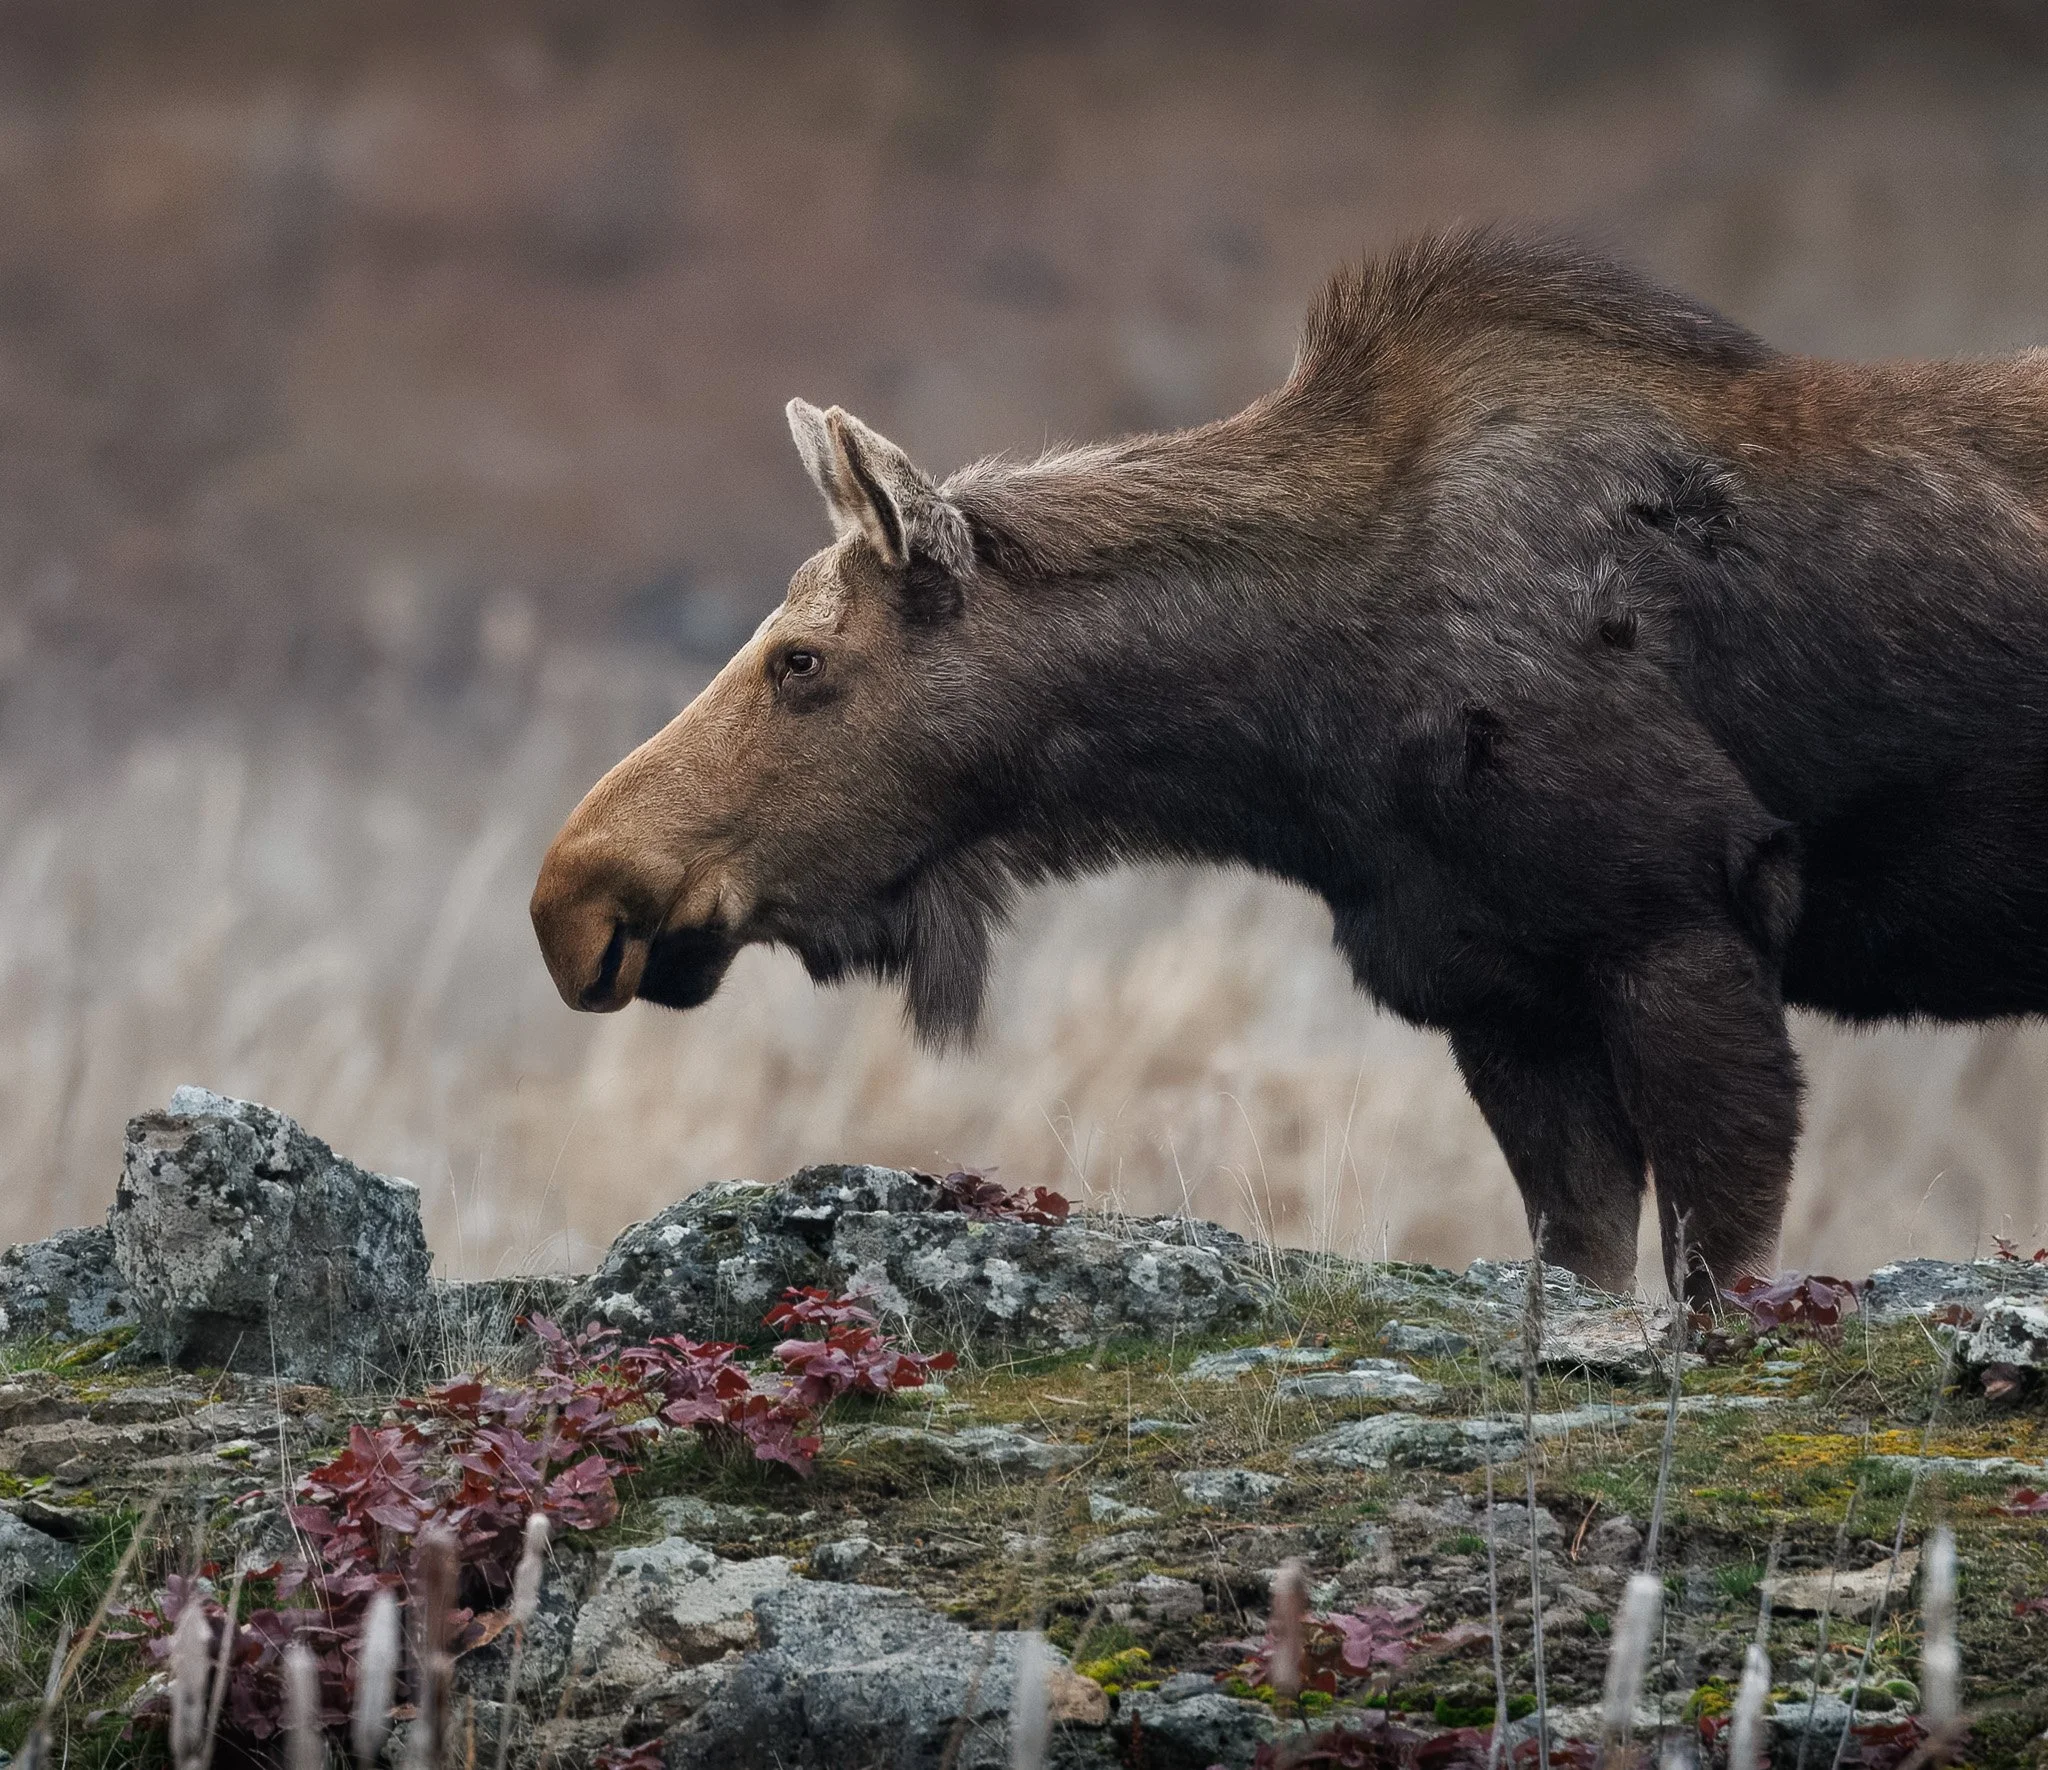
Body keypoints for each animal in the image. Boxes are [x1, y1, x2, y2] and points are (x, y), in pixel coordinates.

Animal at [532, 227, 2048, 1305]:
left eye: (799, 660)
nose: (575, 895)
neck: (1298, 742)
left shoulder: (1680, 926)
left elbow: (1718, 1278)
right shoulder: (1500, 989)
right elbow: (1583, 1264)